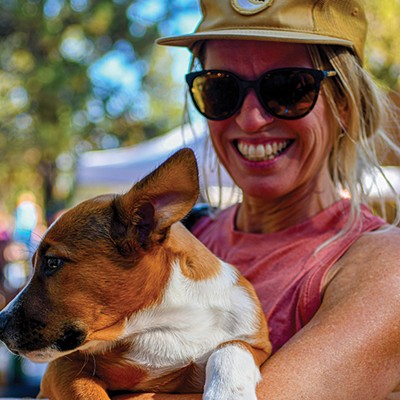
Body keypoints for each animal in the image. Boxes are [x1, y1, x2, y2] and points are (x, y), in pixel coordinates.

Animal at [0, 148, 272, 398]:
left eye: (52, 263)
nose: (0, 323)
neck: (163, 320)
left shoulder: (257, 344)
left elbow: (231, 347)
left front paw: (228, 392)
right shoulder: (62, 367)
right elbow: (87, 392)